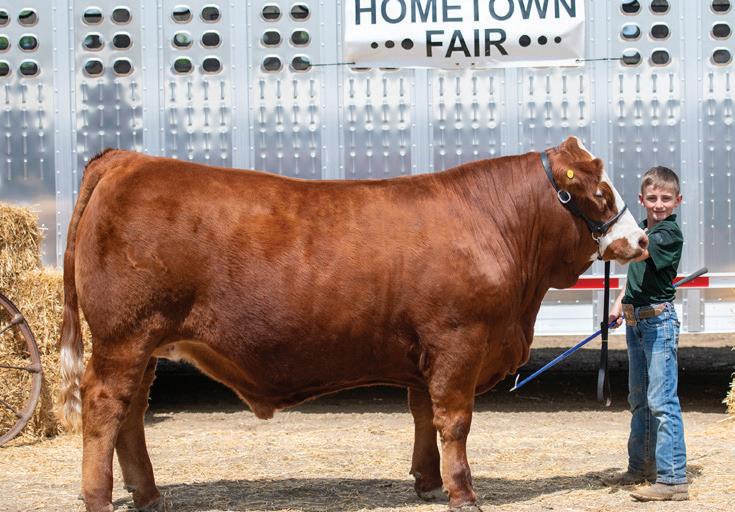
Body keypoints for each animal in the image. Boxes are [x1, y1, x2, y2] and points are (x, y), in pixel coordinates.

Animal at [58, 136, 647, 512]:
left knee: (132, 413)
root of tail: (128, 160)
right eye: (601, 192)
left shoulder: (424, 353)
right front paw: (463, 494)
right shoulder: (458, 342)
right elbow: (454, 422)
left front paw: (427, 483)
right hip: (122, 338)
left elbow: (421, 415)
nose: (639, 239)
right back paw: (98, 499)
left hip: (144, 344)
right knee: (105, 407)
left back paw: (149, 496)